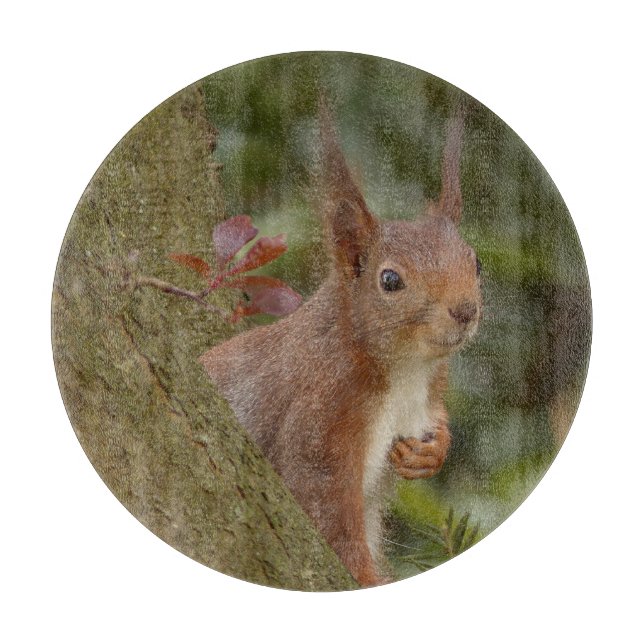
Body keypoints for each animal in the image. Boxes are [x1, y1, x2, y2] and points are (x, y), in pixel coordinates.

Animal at [200, 101, 482, 587]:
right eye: (390, 281)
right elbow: (328, 516)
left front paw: (431, 452)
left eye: (477, 262)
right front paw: (367, 580)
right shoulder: (319, 419)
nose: (465, 310)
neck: (407, 370)